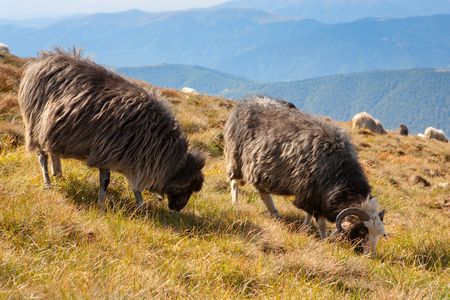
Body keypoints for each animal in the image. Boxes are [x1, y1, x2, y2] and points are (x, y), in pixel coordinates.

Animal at [18, 48, 206, 212]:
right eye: (188, 188)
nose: (178, 209)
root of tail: (39, 61)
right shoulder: (107, 154)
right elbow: (107, 181)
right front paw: (103, 205)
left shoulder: (133, 159)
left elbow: (134, 187)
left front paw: (141, 209)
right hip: (35, 125)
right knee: (42, 157)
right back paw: (48, 182)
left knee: (53, 153)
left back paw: (58, 174)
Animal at [225, 96, 386, 255]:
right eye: (362, 231)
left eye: (380, 234)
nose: (370, 256)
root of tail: (245, 103)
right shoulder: (311, 192)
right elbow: (321, 224)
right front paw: (324, 240)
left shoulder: (313, 193)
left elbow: (308, 214)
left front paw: (305, 229)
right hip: (237, 158)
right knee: (235, 183)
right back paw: (236, 204)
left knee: (264, 193)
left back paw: (275, 214)